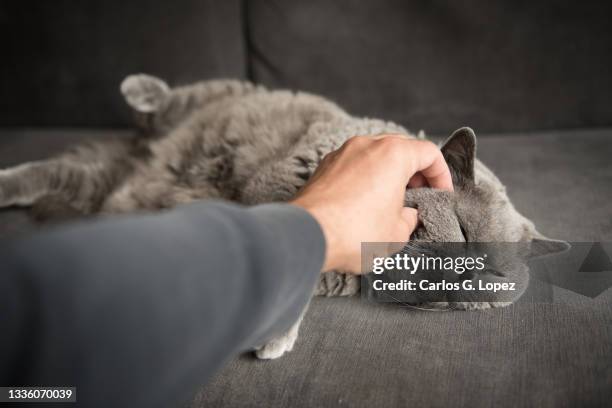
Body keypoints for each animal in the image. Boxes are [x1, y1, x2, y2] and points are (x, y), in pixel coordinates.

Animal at [0, 74, 568, 360]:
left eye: (497, 274)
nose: (467, 279)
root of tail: (146, 157)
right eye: (465, 233)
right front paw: (276, 336)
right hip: (228, 95)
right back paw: (139, 89)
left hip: (104, 189)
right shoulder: (283, 179)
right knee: (173, 97)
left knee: (56, 175)